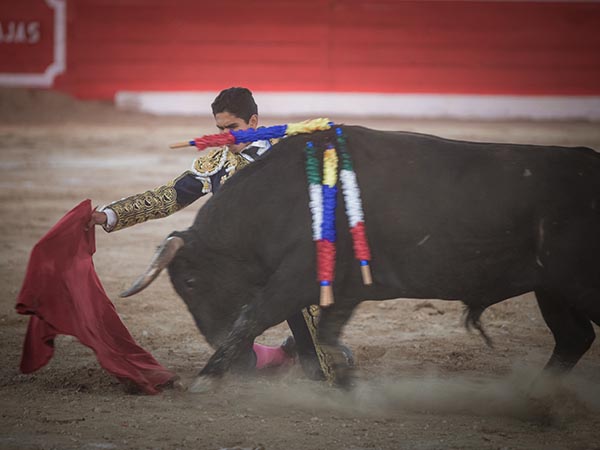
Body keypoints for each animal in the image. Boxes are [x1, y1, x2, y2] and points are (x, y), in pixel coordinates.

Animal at [123, 125, 600, 392]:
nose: (243, 365)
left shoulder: (296, 277)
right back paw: (535, 400)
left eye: (189, 283)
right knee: (574, 338)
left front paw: (205, 379)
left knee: (575, 336)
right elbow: (328, 336)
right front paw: (344, 385)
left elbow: (253, 316)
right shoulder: (342, 289)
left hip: (576, 282)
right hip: (553, 289)